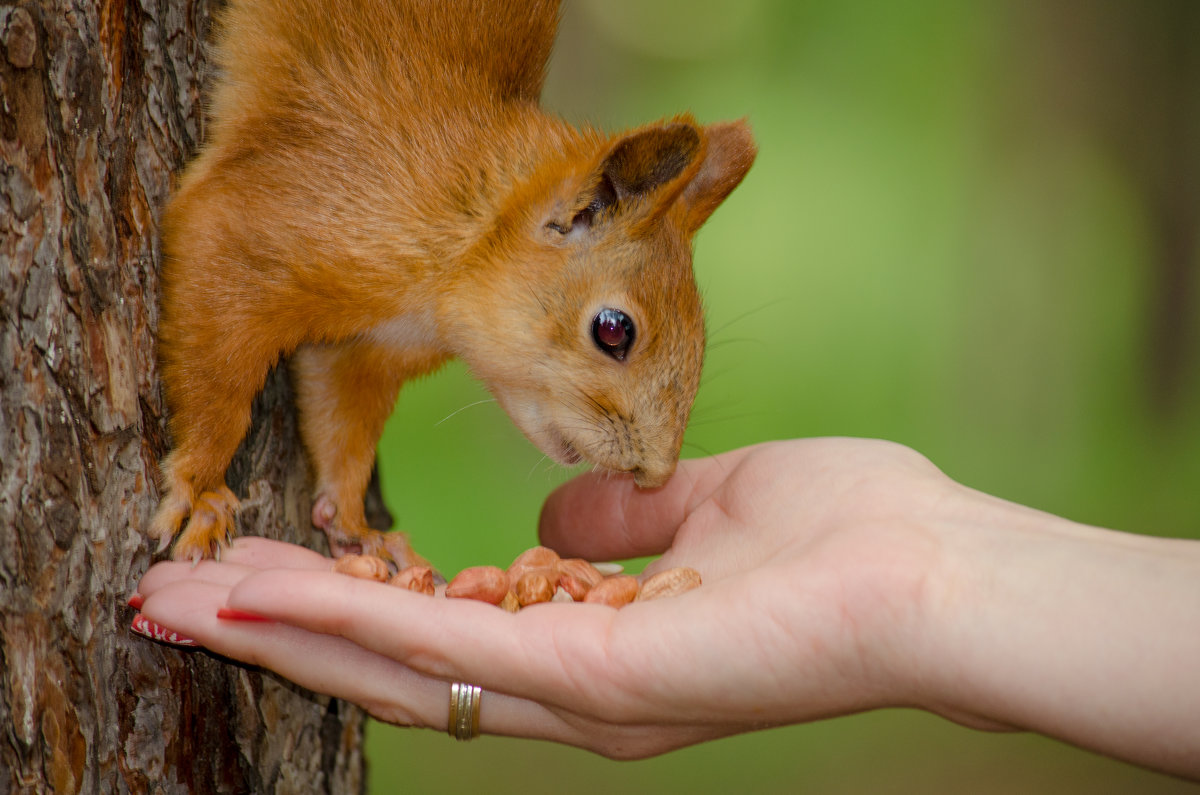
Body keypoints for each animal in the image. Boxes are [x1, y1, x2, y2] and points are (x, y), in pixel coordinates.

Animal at [147, 0, 748, 566]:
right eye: (614, 330)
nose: (656, 474)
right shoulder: (276, 214)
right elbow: (220, 364)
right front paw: (201, 487)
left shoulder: (360, 348)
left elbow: (343, 425)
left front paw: (354, 525)